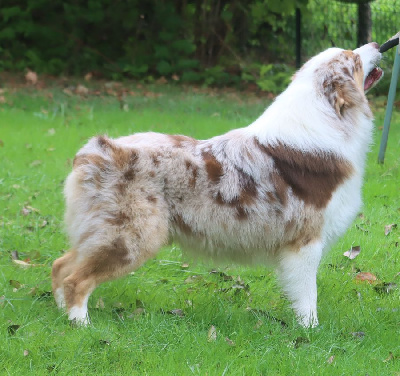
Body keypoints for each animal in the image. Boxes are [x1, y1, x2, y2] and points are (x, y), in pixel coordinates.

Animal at [51, 43, 382, 326]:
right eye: (353, 58)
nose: (378, 44)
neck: (328, 119)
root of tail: (98, 149)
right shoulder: (305, 241)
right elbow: (307, 297)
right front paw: (310, 333)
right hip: (131, 237)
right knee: (76, 279)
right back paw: (81, 324)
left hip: (100, 232)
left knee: (60, 265)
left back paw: (60, 313)